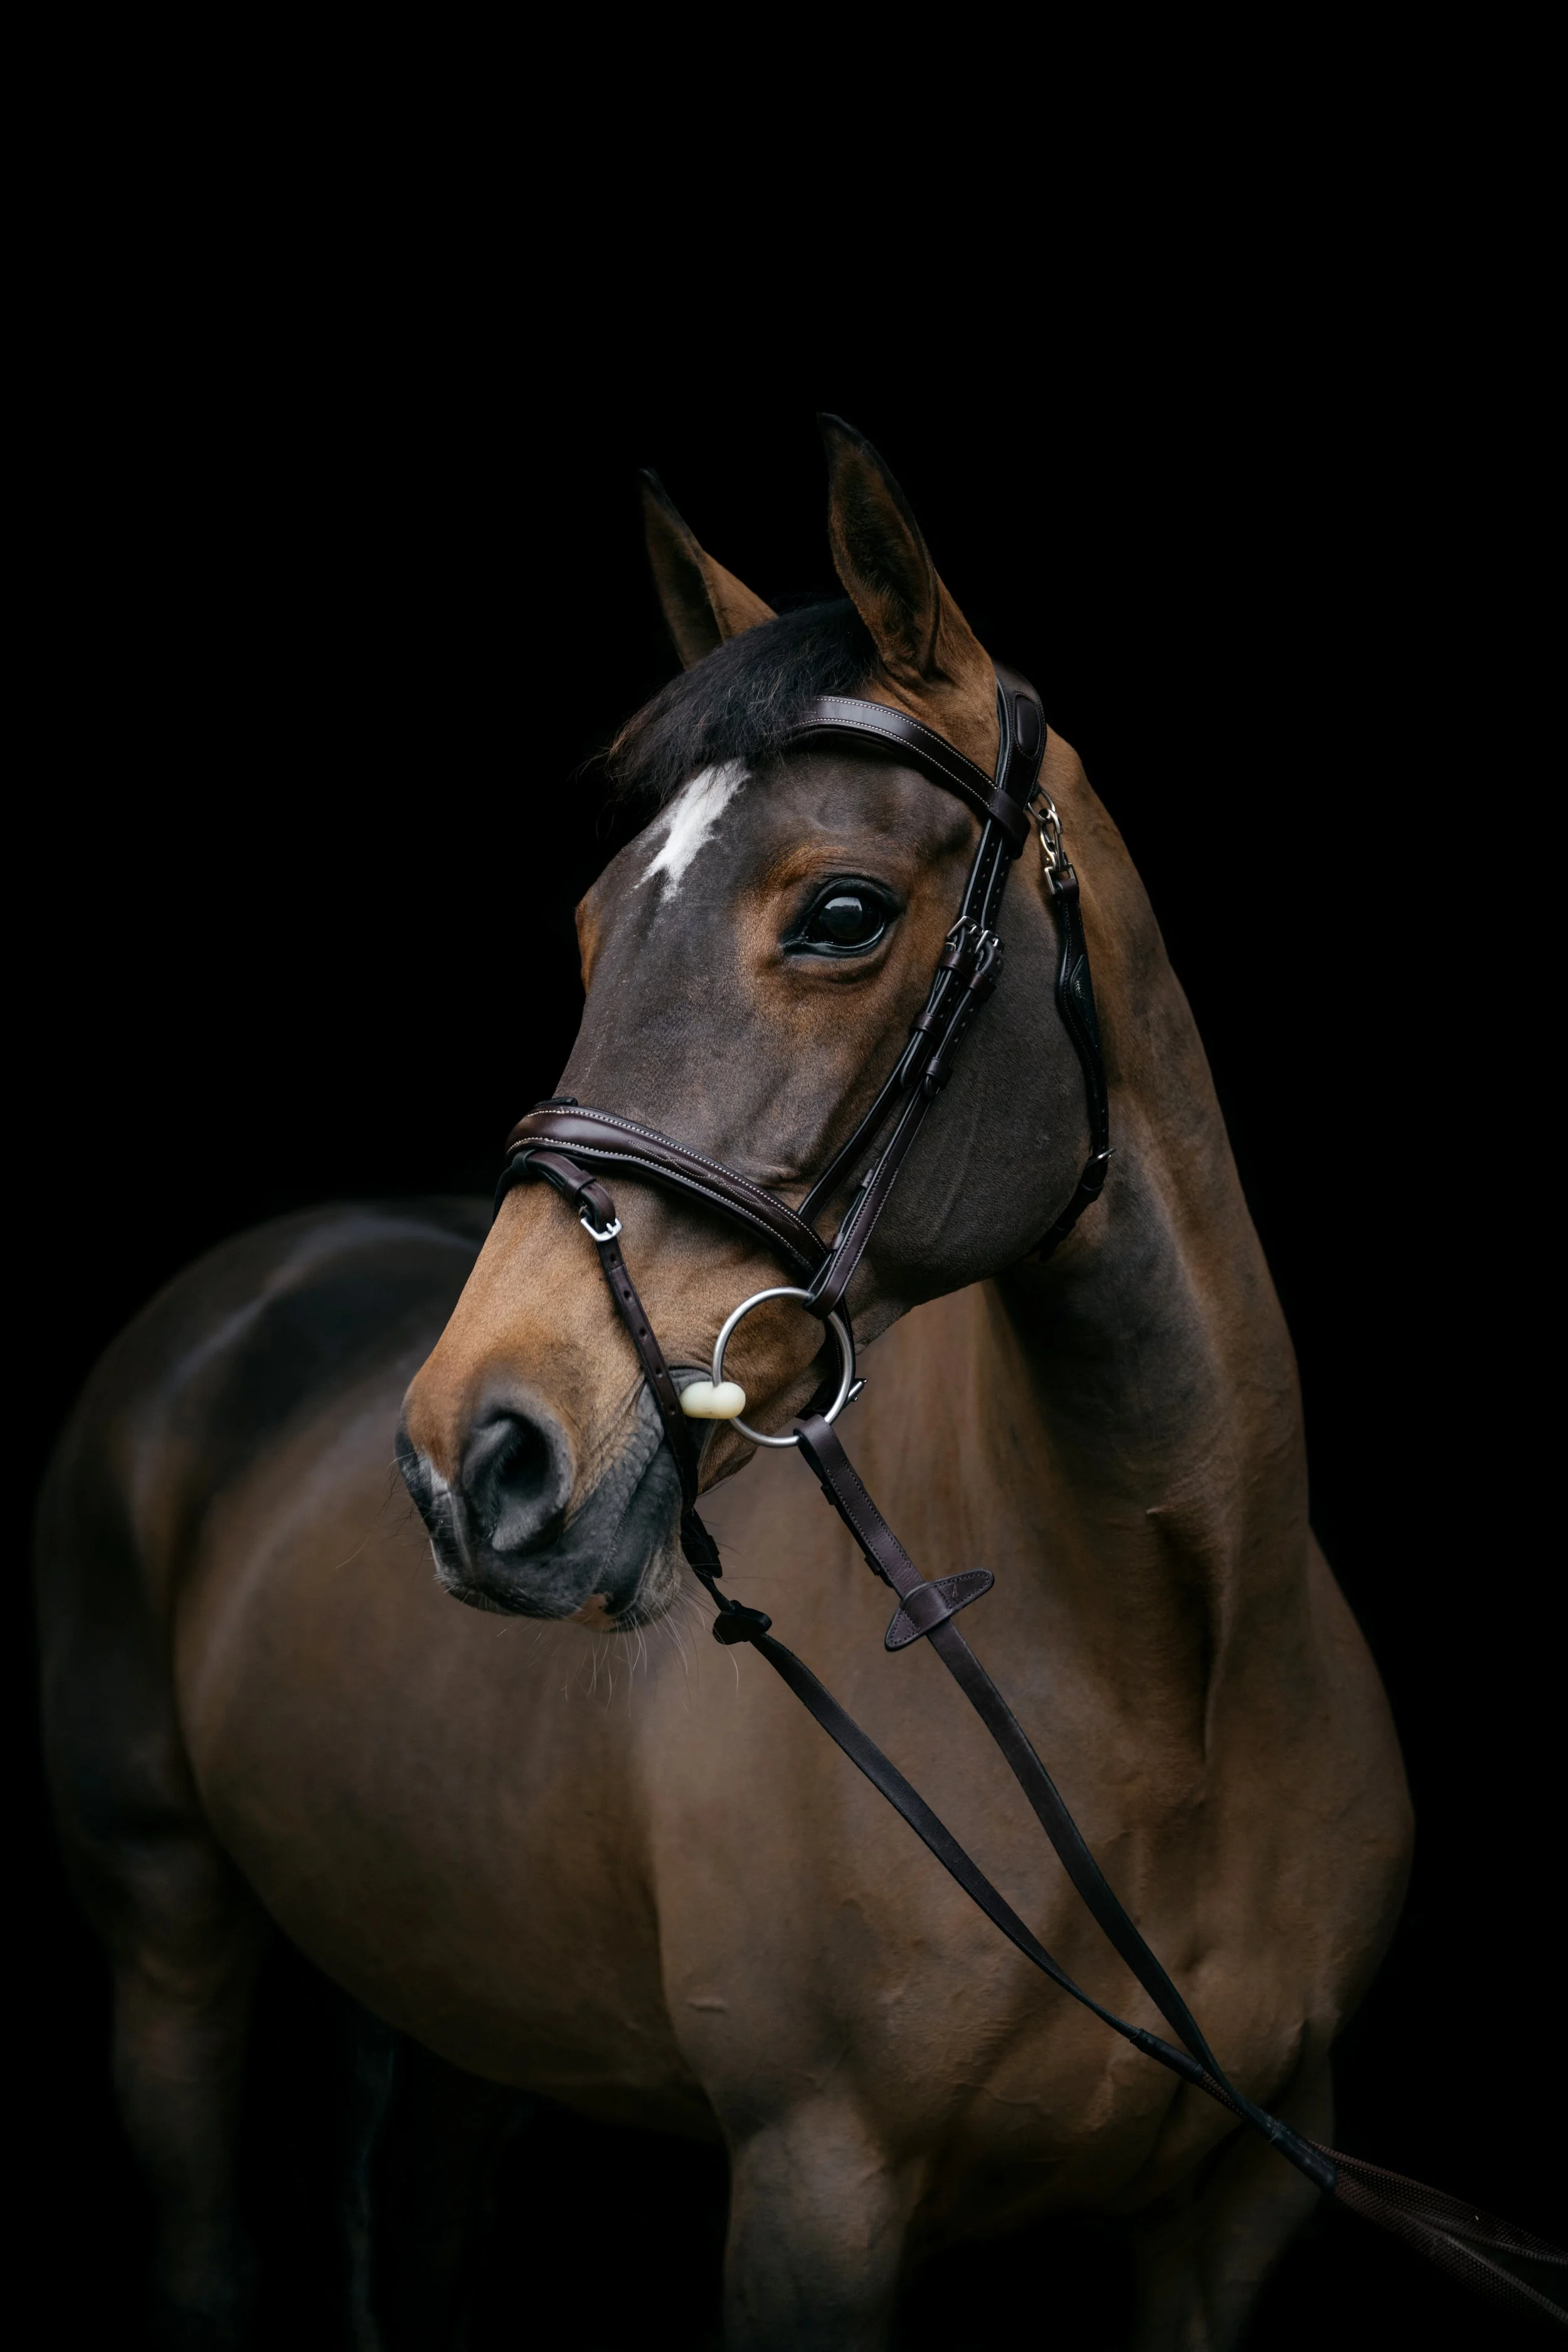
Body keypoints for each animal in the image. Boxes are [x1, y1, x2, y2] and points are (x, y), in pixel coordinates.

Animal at [36, 417, 1414, 2350]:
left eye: (841, 910)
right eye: (595, 923)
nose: (476, 1457)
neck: (1174, 1682)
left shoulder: (1229, 2215)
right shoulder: (815, 2190)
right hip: (164, 1929)